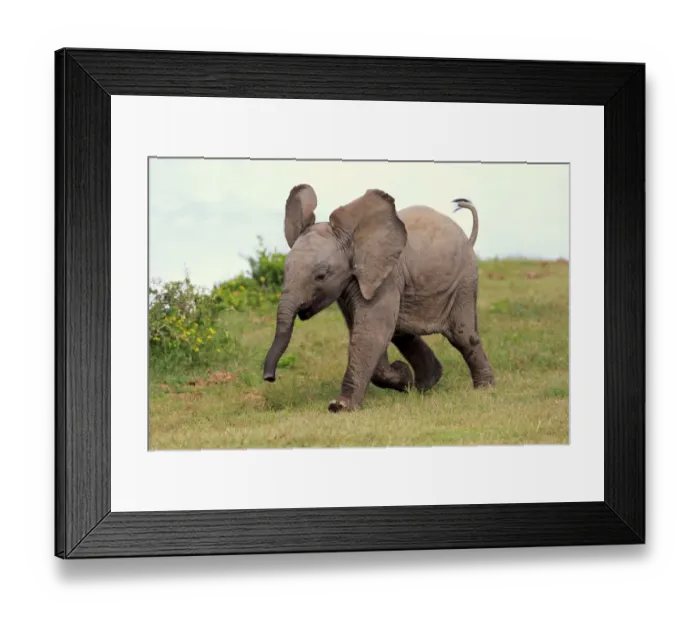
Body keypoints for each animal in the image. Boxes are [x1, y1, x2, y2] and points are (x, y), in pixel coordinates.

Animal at [262, 183, 495, 413]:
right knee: (403, 333)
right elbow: (367, 330)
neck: (351, 238)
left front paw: (339, 407)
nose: (269, 378)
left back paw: (484, 390)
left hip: (464, 280)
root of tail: (467, 238)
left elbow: (370, 331)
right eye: (285, 271)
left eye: (321, 276)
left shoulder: (386, 276)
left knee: (462, 335)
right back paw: (424, 385)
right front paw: (403, 378)